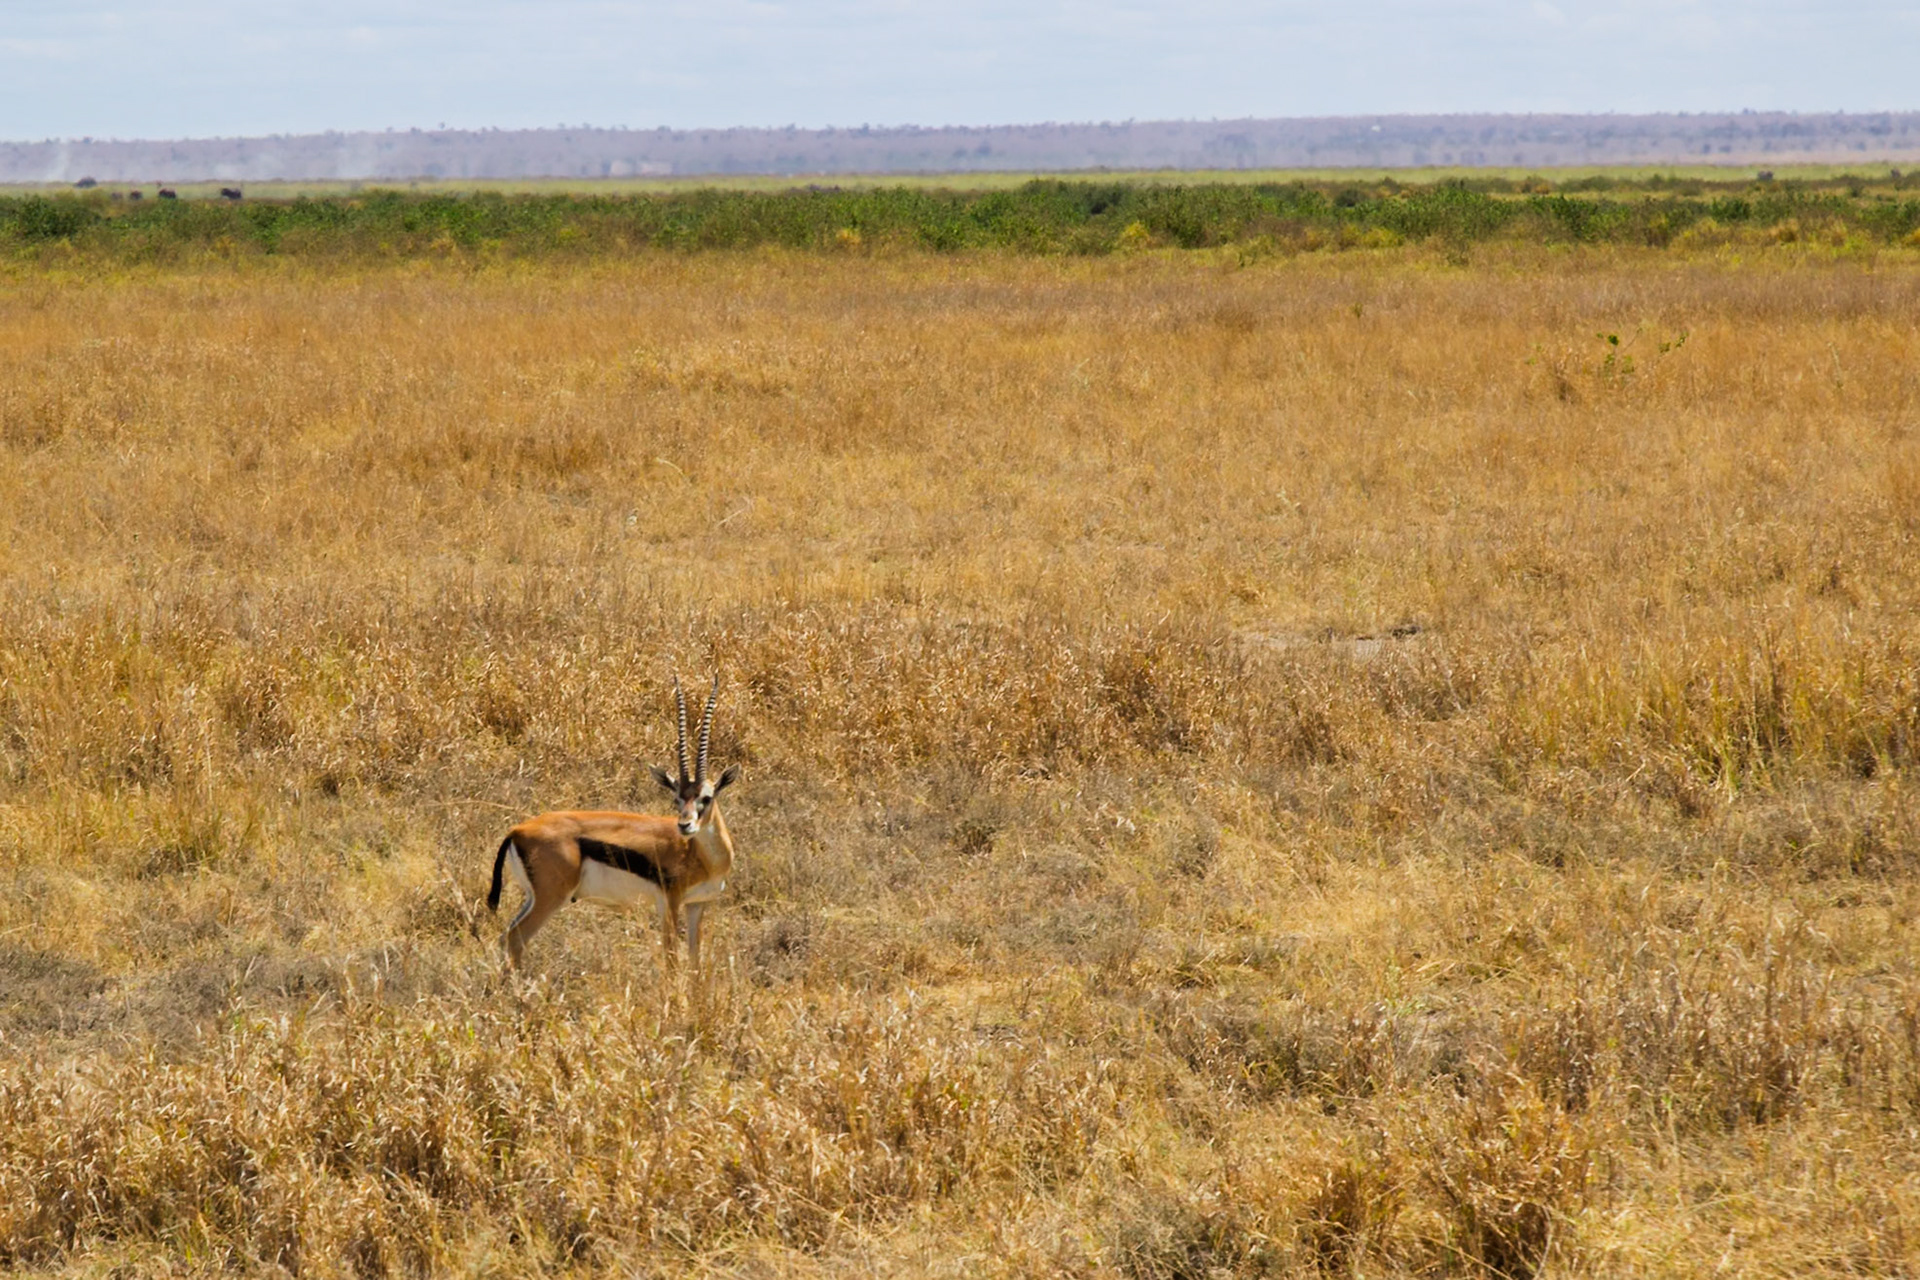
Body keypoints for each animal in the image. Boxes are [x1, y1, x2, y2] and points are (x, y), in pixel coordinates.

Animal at [485, 676, 740, 971]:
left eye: (706, 798)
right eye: (676, 797)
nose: (685, 826)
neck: (700, 857)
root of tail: (517, 830)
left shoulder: (697, 905)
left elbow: (695, 959)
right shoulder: (670, 903)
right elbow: (671, 958)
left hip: (533, 897)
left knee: (505, 937)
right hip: (551, 898)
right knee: (516, 937)